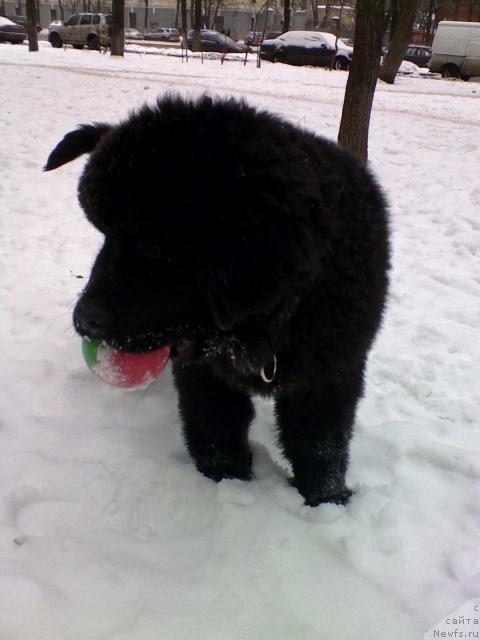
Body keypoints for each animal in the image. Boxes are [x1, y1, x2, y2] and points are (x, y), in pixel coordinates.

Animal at [45, 95, 390, 504]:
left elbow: (320, 443)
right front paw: (227, 481)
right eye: (106, 236)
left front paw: (326, 500)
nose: (84, 320)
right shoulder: (206, 373)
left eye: (154, 246)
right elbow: (216, 428)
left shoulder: (331, 373)